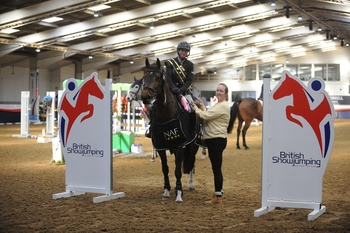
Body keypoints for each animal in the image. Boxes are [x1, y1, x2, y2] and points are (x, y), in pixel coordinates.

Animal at [139, 57, 200, 202]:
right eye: (144, 77)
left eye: (157, 77)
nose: (145, 97)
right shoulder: (161, 146)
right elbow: (165, 169)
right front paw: (167, 191)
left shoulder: (180, 145)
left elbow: (177, 170)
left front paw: (178, 194)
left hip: (193, 145)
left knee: (191, 163)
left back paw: (191, 185)